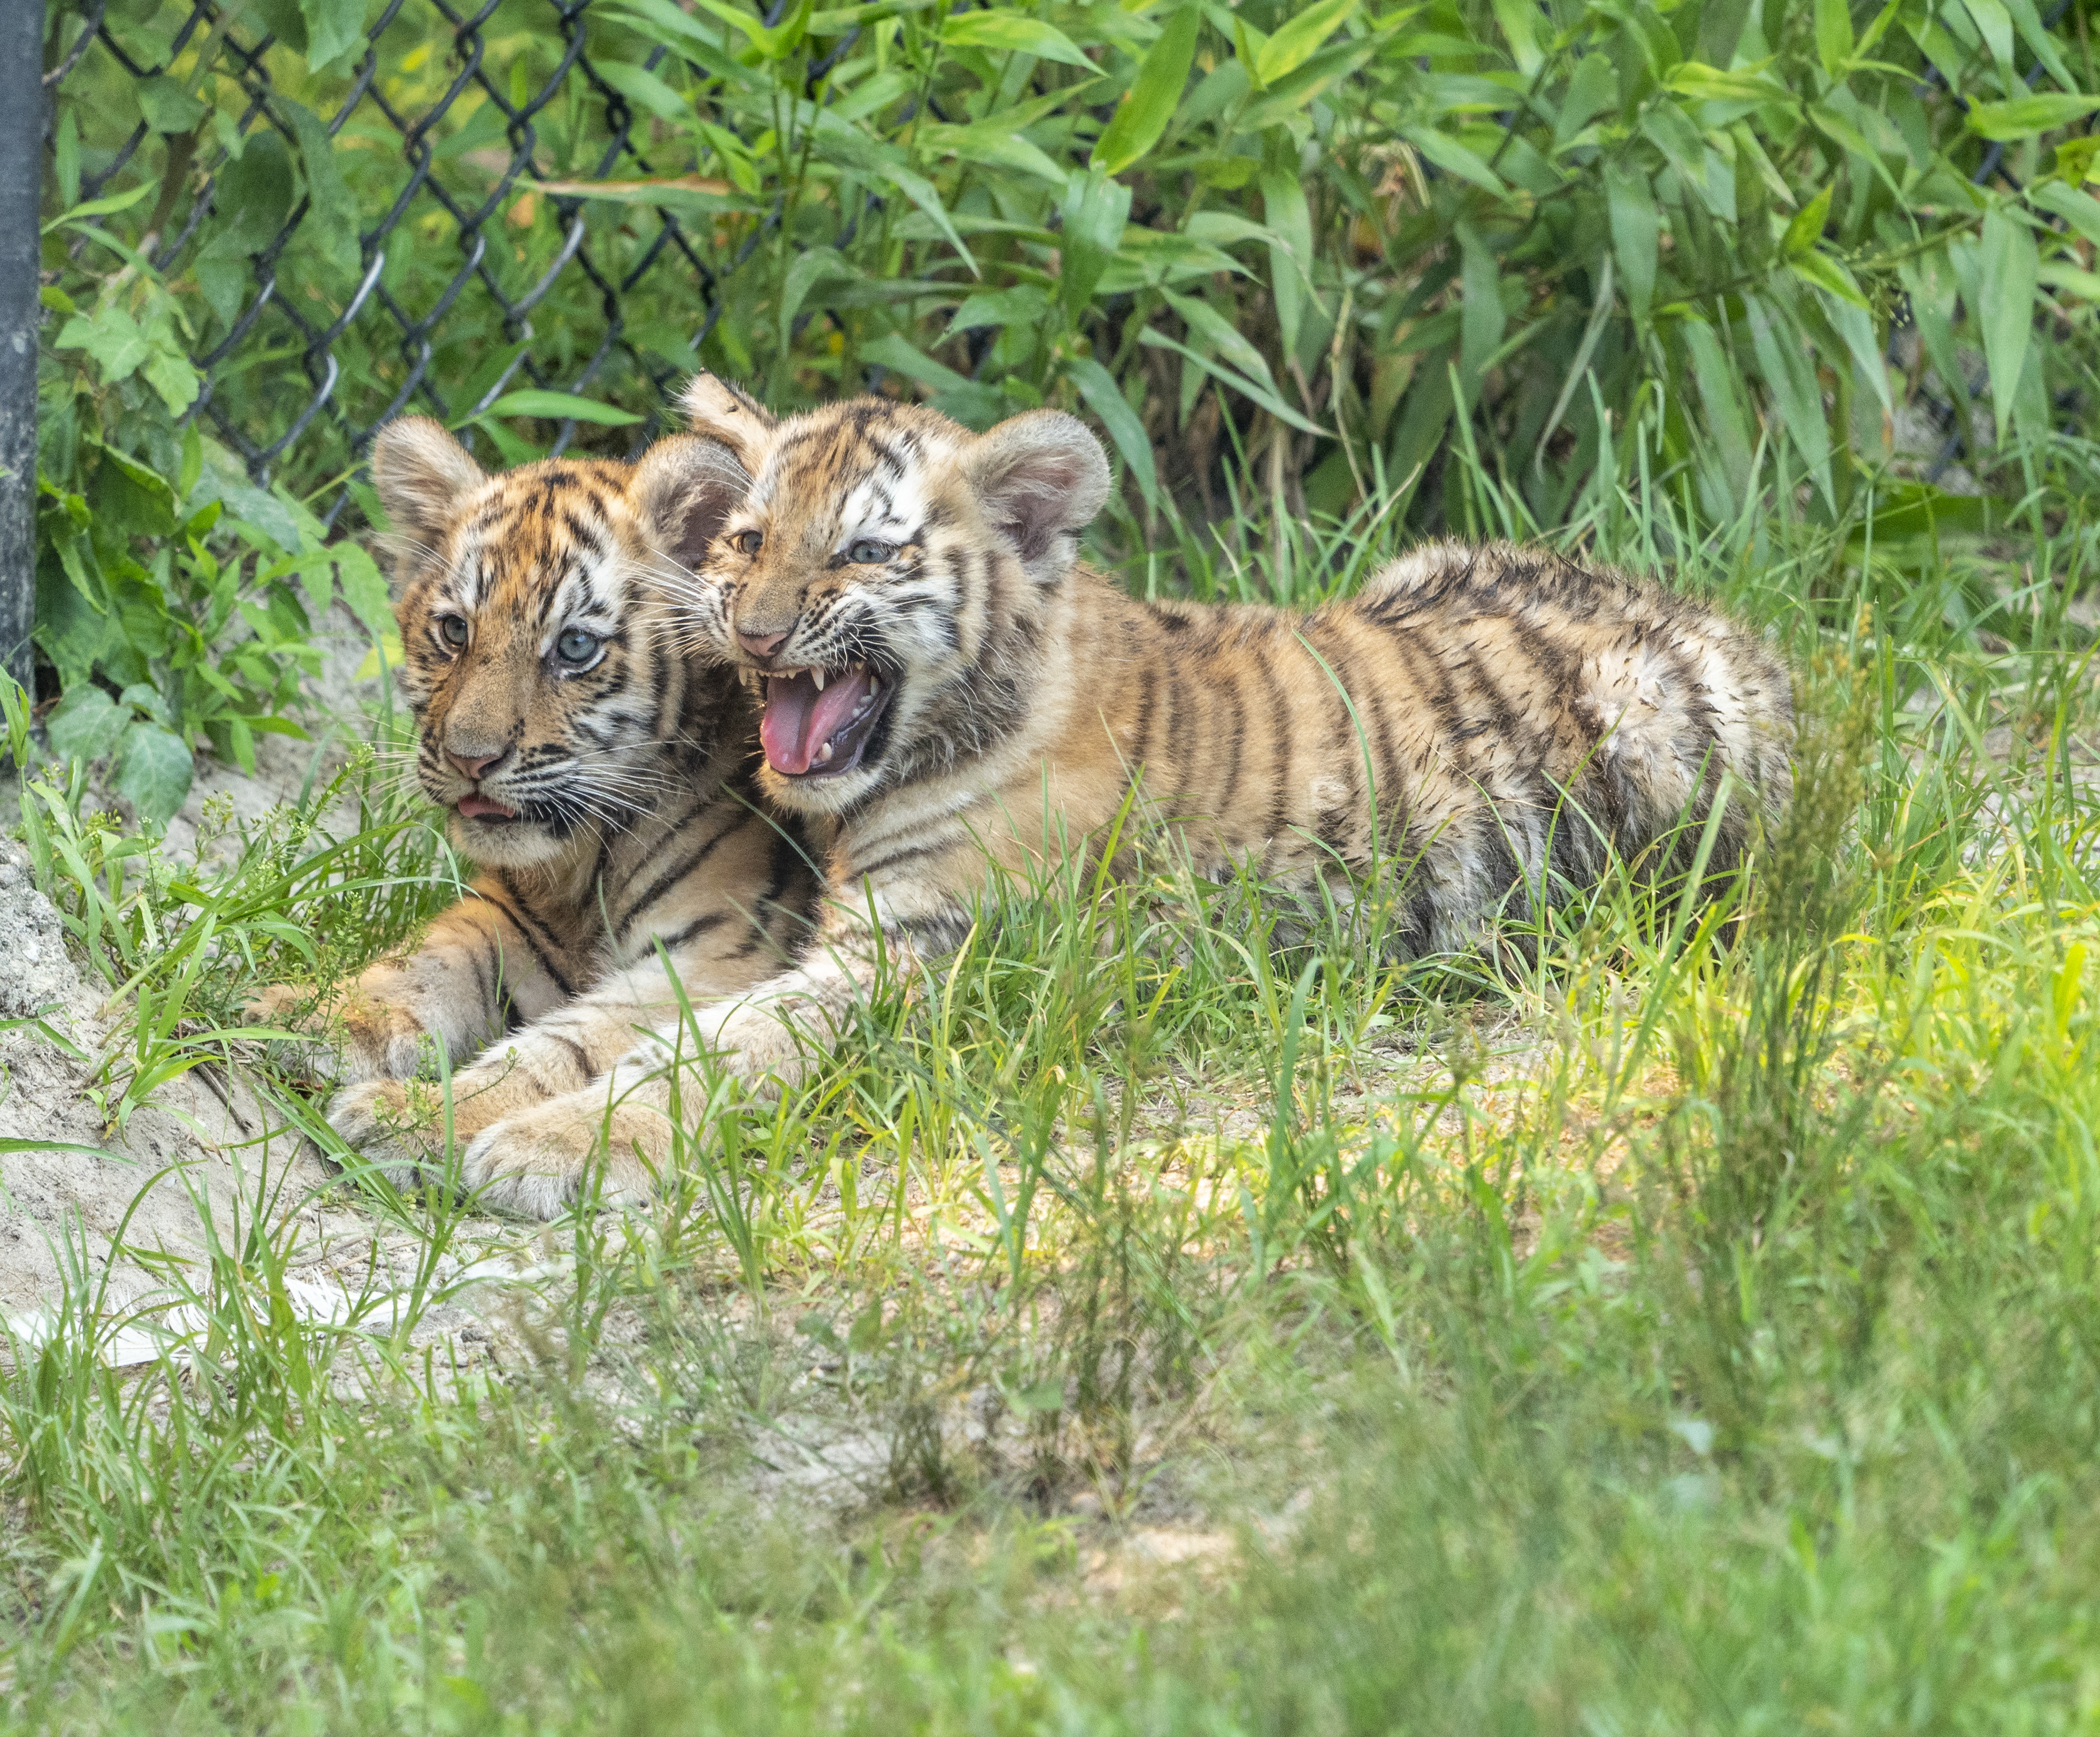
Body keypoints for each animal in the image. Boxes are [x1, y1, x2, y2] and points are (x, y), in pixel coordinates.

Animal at [250, 416, 818, 1219]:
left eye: (574, 646)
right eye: (455, 631)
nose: (470, 759)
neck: (588, 859)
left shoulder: (716, 956)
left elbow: (567, 1046)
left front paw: (422, 1120)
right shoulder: (512, 919)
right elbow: (427, 962)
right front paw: (313, 1014)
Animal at [562, 373, 1793, 1119]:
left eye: (863, 552)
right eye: (750, 541)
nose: (757, 631)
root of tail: (1725, 624)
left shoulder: (919, 961)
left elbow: (710, 1056)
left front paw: (546, 1148)